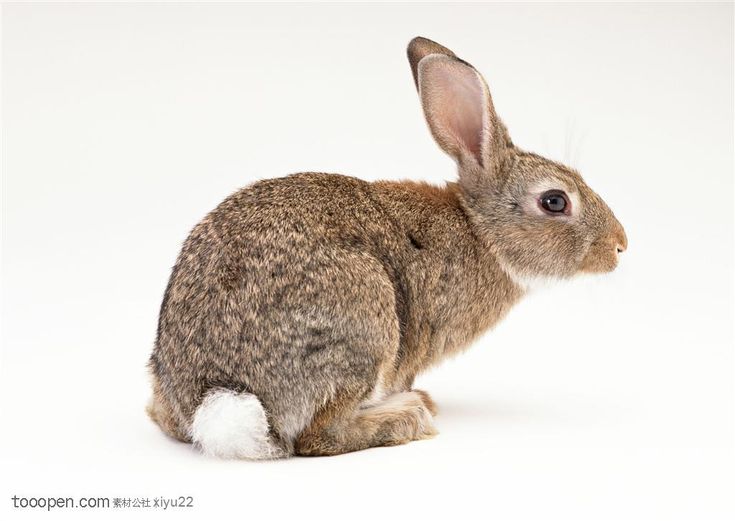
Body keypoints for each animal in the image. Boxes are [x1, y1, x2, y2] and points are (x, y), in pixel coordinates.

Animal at [148, 37, 628, 460]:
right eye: (555, 201)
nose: (620, 245)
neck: (480, 230)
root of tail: (215, 399)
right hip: (365, 320)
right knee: (318, 437)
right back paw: (407, 416)